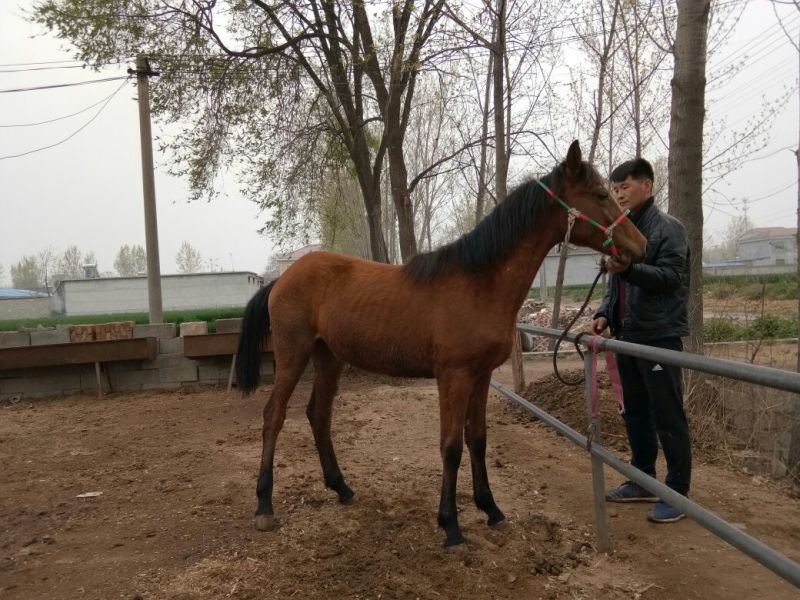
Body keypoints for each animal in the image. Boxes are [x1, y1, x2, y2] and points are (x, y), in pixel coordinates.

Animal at [236, 141, 647, 547]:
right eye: (600, 195)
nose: (640, 245)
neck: (479, 283)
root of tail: (283, 278)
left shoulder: (481, 377)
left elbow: (477, 439)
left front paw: (491, 509)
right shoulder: (454, 377)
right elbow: (450, 446)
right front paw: (450, 526)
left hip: (329, 357)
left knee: (318, 414)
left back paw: (342, 487)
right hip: (293, 355)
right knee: (273, 416)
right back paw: (263, 506)